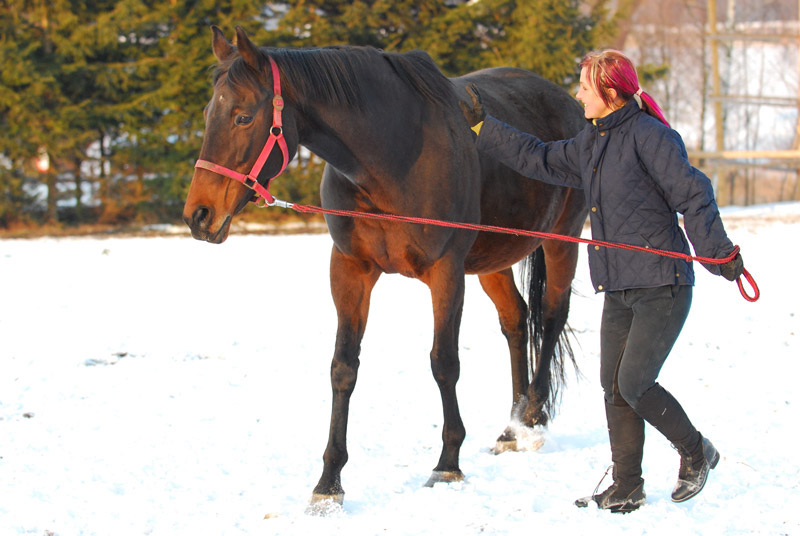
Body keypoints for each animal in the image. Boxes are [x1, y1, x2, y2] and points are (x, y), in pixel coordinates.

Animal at [183, 26, 588, 506]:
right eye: (208, 112)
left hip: (561, 242)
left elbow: (443, 362)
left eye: (243, 117)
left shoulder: (446, 272)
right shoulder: (350, 270)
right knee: (516, 320)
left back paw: (532, 418)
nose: (198, 215)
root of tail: (571, 106)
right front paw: (329, 482)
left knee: (551, 317)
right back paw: (511, 428)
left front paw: (447, 463)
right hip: (492, 261)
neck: (393, 157)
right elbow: (343, 368)